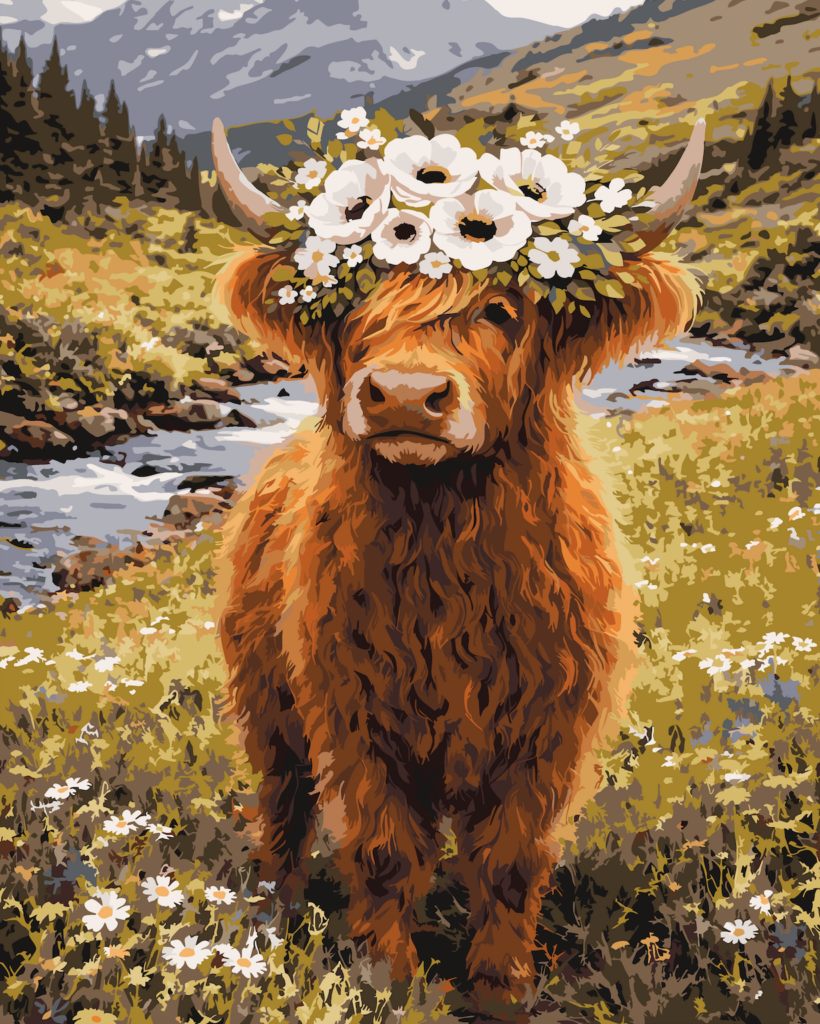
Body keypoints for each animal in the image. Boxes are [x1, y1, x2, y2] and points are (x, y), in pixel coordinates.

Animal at [211, 116, 705, 1005]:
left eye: (502, 311)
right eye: (354, 306)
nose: (407, 395)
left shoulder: (547, 727)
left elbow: (510, 860)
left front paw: (501, 984)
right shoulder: (357, 715)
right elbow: (384, 852)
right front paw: (389, 979)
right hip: (265, 698)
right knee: (282, 803)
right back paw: (273, 910)